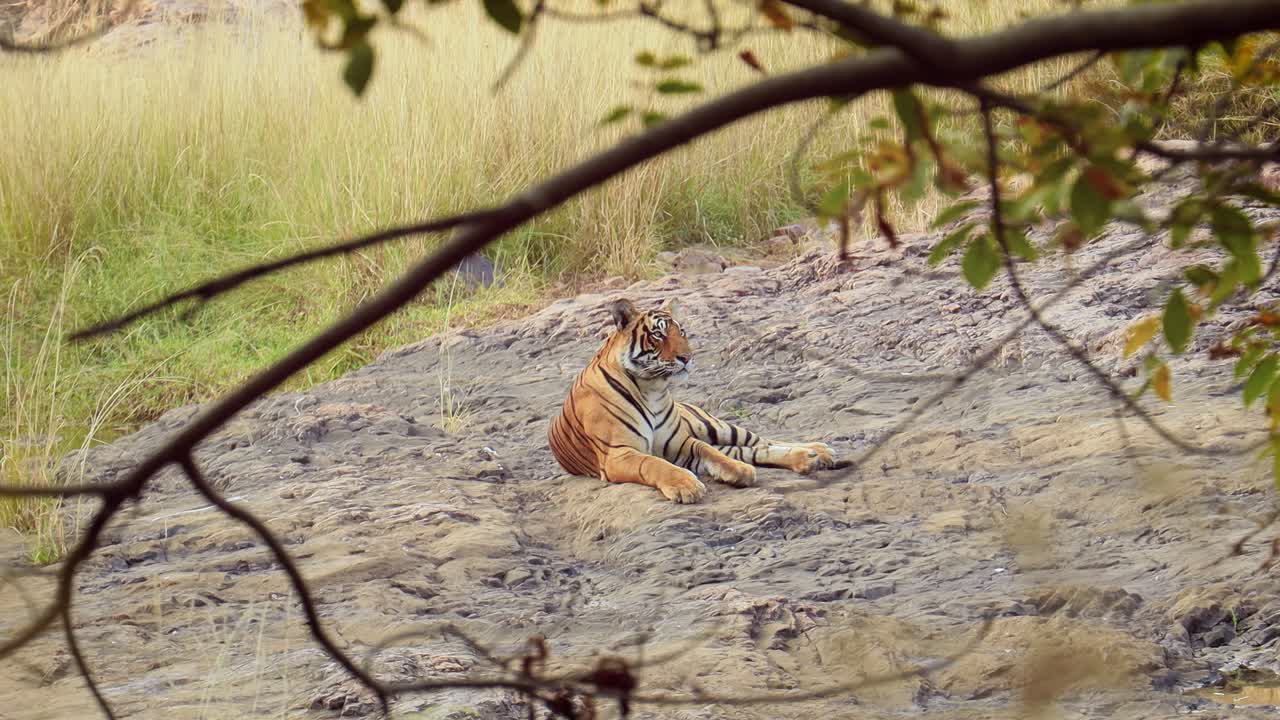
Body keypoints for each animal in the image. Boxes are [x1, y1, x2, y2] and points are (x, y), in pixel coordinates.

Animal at [548, 297, 836, 503]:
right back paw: (809, 457)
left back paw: (818, 451)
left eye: (682, 331)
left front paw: (737, 470)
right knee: (754, 449)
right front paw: (687, 486)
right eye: (658, 335)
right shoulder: (618, 454)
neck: (652, 389)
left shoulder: (680, 442)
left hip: (716, 425)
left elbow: (708, 450)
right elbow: (653, 463)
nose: (687, 357)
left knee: (761, 441)